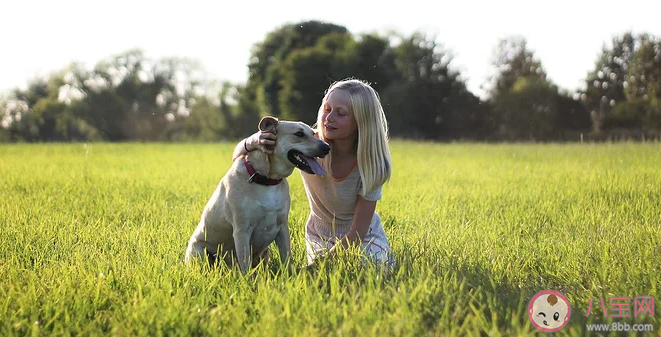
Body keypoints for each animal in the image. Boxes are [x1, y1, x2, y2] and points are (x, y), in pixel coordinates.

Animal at [184, 115, 328, 272]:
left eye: (313, 133)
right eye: (299, 134)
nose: (327, 147)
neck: (266, 180)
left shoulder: (283, 227)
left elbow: (286, 259)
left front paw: (289, 276)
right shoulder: (242, 230)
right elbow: (245, 265)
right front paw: (248, 279)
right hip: (199, 252)